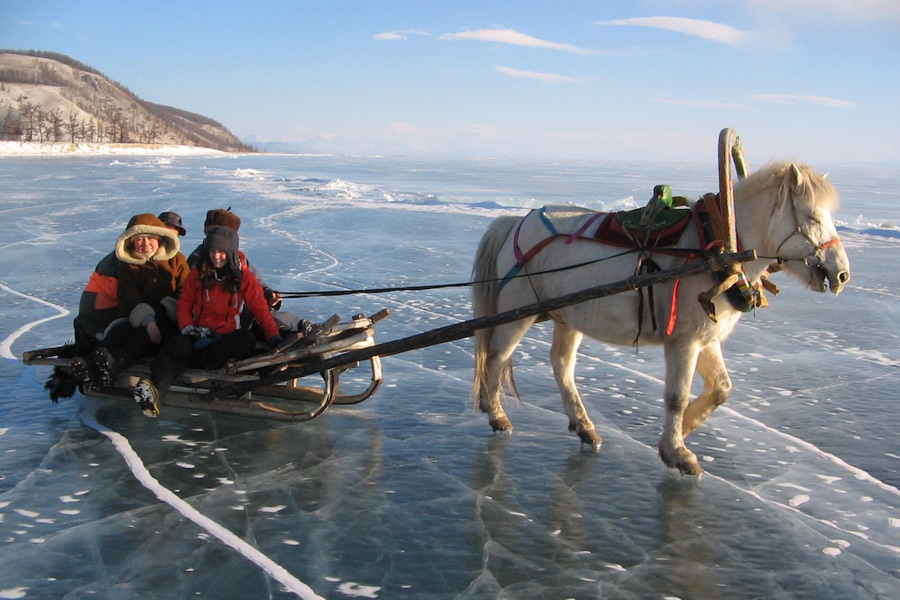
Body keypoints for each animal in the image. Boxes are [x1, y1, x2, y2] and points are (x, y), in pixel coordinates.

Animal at [472, 162, 852, 476]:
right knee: (498, 357)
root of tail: (517, 222)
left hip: (569, 316)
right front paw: (678, 452)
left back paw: (584, 426)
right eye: (813, 218)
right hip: (519, 312)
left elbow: (721, 388)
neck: (718, 247)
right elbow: (677, 397)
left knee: (562, 365)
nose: (842, 274)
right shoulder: (684, 341)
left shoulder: (705, 337)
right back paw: (497, 414)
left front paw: (683, 430)